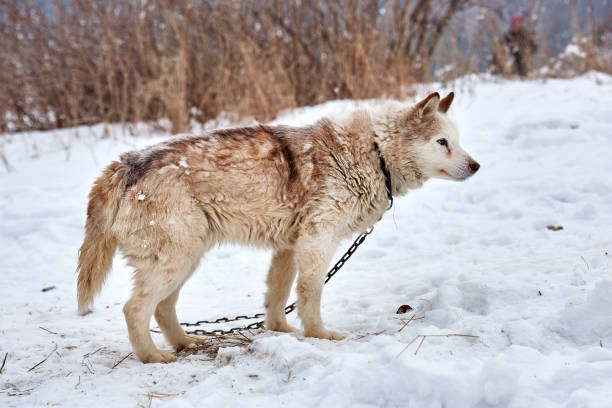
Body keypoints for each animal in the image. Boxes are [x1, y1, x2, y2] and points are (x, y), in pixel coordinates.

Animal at [75, 91, 478, 362]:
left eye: (456, 142)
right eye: (441, 143)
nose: (476, 166)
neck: (374, 152)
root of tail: (126, 163)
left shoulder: (288, 248)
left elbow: (278, 296)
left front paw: (280, 331)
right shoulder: (317, 242)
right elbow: (310, 295)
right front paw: (320, 335)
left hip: (185, 261)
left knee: (162, 309)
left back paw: (187, 343)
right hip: (175, 261)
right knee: (135, 310)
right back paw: (153, 357)